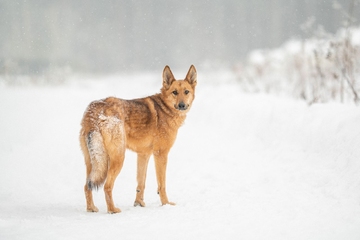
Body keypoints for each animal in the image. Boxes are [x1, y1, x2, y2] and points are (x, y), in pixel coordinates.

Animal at [79, 64, 197, 213]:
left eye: (186, 92)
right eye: (174, 92)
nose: (182, 105)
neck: (165, 108)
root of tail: (95, 110)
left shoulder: (143, 154)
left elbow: (141, 183)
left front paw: (139, 204)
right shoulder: (161, 154)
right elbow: (161, 184)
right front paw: (166, 204)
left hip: (93, 162)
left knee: (87, 186)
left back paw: (91, 208)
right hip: (117, 158)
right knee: (107, 186)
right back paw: (113, 210)